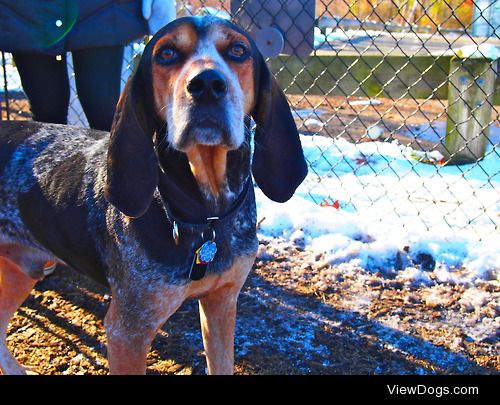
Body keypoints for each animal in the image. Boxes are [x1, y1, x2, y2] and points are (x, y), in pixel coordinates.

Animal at [0, 16, 306, 376]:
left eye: (238, 50)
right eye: (167, 53)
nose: (206, 84)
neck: (207, 216)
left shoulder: (222, 303)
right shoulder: (128, 331)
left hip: (21, 270)